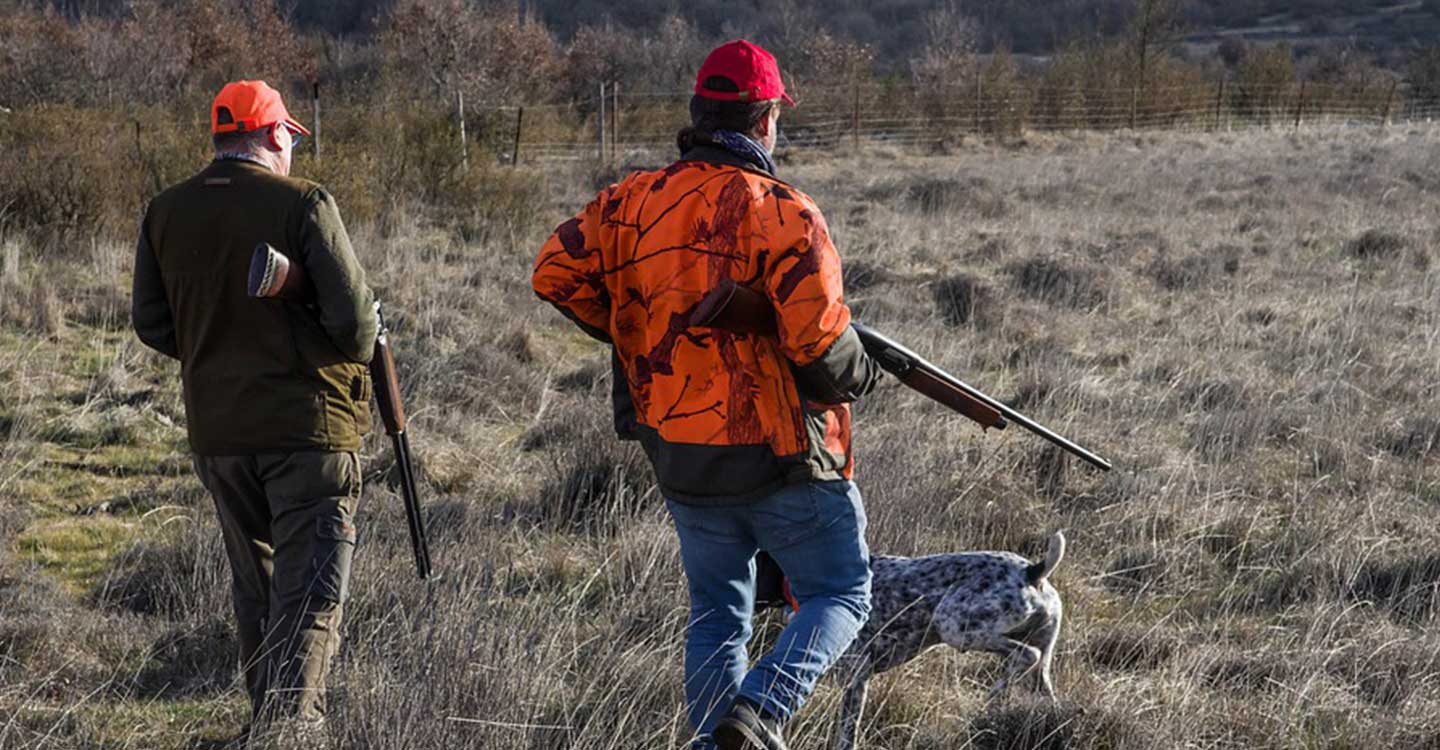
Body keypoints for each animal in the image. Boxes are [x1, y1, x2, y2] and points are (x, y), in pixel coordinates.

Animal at [829, 529, 1065, 748]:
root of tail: (1031, 572)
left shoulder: (855, 673)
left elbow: (848, 734)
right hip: (1040, 661)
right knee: (1044, 687)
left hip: (954, 626)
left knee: (1028, 655)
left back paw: (990, 699)